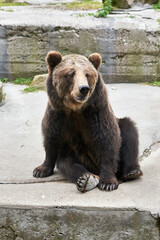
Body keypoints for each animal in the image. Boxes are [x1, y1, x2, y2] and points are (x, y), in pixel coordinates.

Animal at [33, 51, 143, 193]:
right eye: (71, 73)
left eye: (87, 74)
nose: (83, 88)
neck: (76, 109)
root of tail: (94, 168)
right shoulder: (57, 114)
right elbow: (51, 140)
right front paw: (40, 170)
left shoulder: (96, 112)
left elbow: (107, 141)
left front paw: (108, 183)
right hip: (75, 155)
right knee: (68, 164)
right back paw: (86, 179)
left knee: (128, 131)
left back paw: (132, 171)